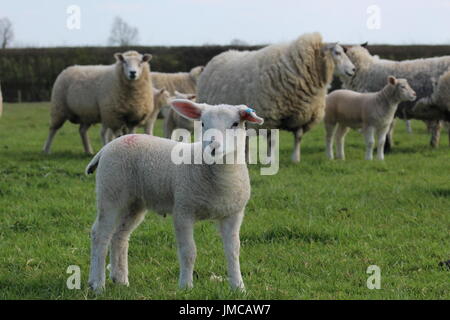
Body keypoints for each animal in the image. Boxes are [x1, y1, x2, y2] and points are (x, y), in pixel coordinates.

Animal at [84, 99, 264, 292]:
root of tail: (108, 146)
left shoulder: (233, 214)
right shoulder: (183, 210)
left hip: (134, 203)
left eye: (235, 124)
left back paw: (121, 279)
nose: (213, 148)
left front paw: (238, 286)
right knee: (100, 234)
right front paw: (186, 286)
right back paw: (97, 283)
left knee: (120, 235)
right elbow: (189, 251)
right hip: (110, 192)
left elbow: (233, 251)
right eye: (202, 123)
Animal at [197, 32, 356, 161]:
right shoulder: (271, 117)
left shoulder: (302, 114)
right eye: (337, 52)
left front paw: (295, 158)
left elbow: (298, 137)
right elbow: (272, 140)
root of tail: (219, 56)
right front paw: (271, 159)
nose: (353, 69)